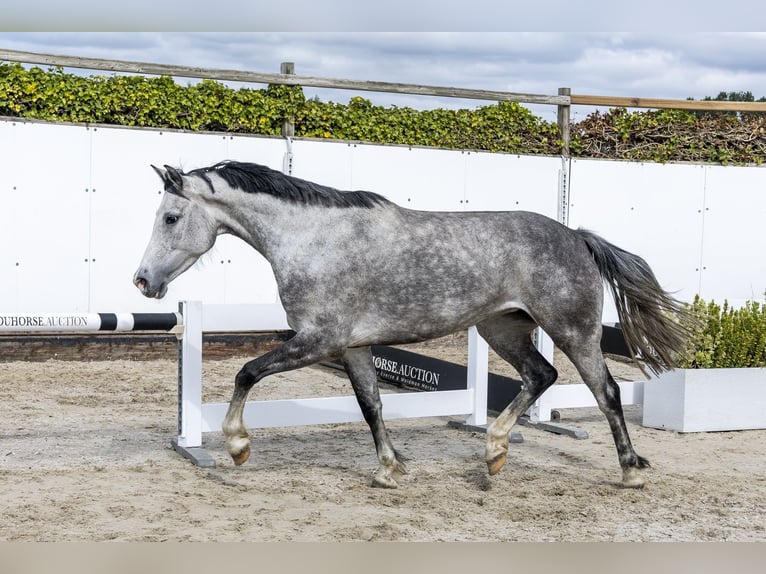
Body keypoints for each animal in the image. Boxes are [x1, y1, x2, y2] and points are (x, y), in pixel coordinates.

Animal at [134, 160, 691, 489]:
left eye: (170, 218)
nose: (142, 281)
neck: (313, 240)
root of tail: (577, 237)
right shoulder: (353, 347)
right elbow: (371, 405)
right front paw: (389, 468)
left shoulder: (318, 341)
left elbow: (246, 372)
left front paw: (238, 446)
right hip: (502, 329)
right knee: (542, 376)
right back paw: (493, 451)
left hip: (573, 331)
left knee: (606, 391)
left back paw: (630, 471)